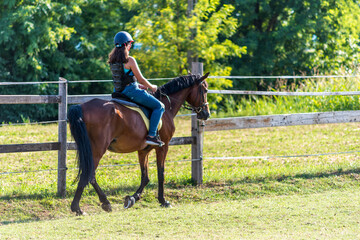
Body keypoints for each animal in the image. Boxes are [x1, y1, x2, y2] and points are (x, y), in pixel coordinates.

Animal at [67, 72, 211, 215]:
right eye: (204, 90)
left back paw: (94, 204)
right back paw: (83, 207)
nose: (206, 113)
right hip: (97, 149)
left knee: (89, 175)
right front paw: (163, 201)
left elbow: (145, 177)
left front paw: (132, 199)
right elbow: (161, 174)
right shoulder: (163, 147)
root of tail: (81, 107)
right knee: (89, 174)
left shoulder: (143, 150)